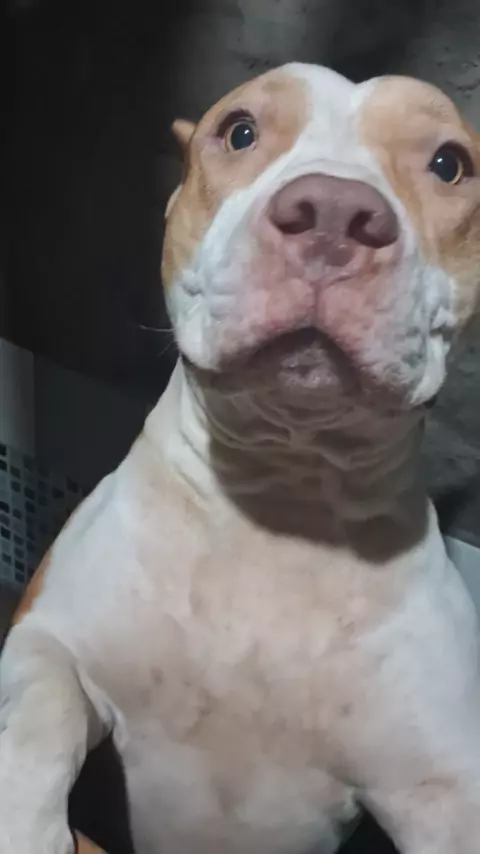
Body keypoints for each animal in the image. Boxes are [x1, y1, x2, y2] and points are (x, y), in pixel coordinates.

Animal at [1, 62, 480, 854]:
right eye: (240, 131)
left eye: (449, 163)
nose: (334, 212)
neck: (278, 496)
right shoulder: (47, 632)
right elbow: (33, 717)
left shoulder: (445, 787)